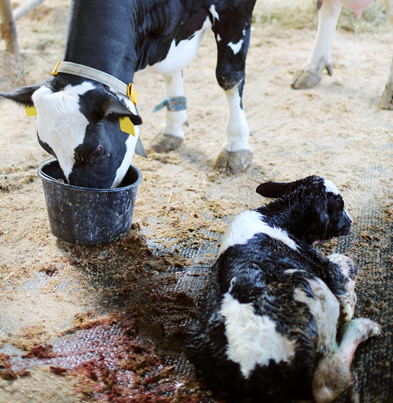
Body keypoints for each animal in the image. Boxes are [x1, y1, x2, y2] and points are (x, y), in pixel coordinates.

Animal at [0, 0, 258, 188]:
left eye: (98, 150)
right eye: (46, 146)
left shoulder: (234, 9)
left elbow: (228, 77)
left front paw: (236, 146)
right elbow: (171, 71)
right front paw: (172, 130)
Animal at [185, 177, 382, 403]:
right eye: (339, 206)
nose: (351, 222)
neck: (275, 217)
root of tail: (253, 367)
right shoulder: (320, 266)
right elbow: (346, 263)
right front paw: (348, 307)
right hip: (310, 285)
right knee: (327, 384)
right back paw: (364, 327)